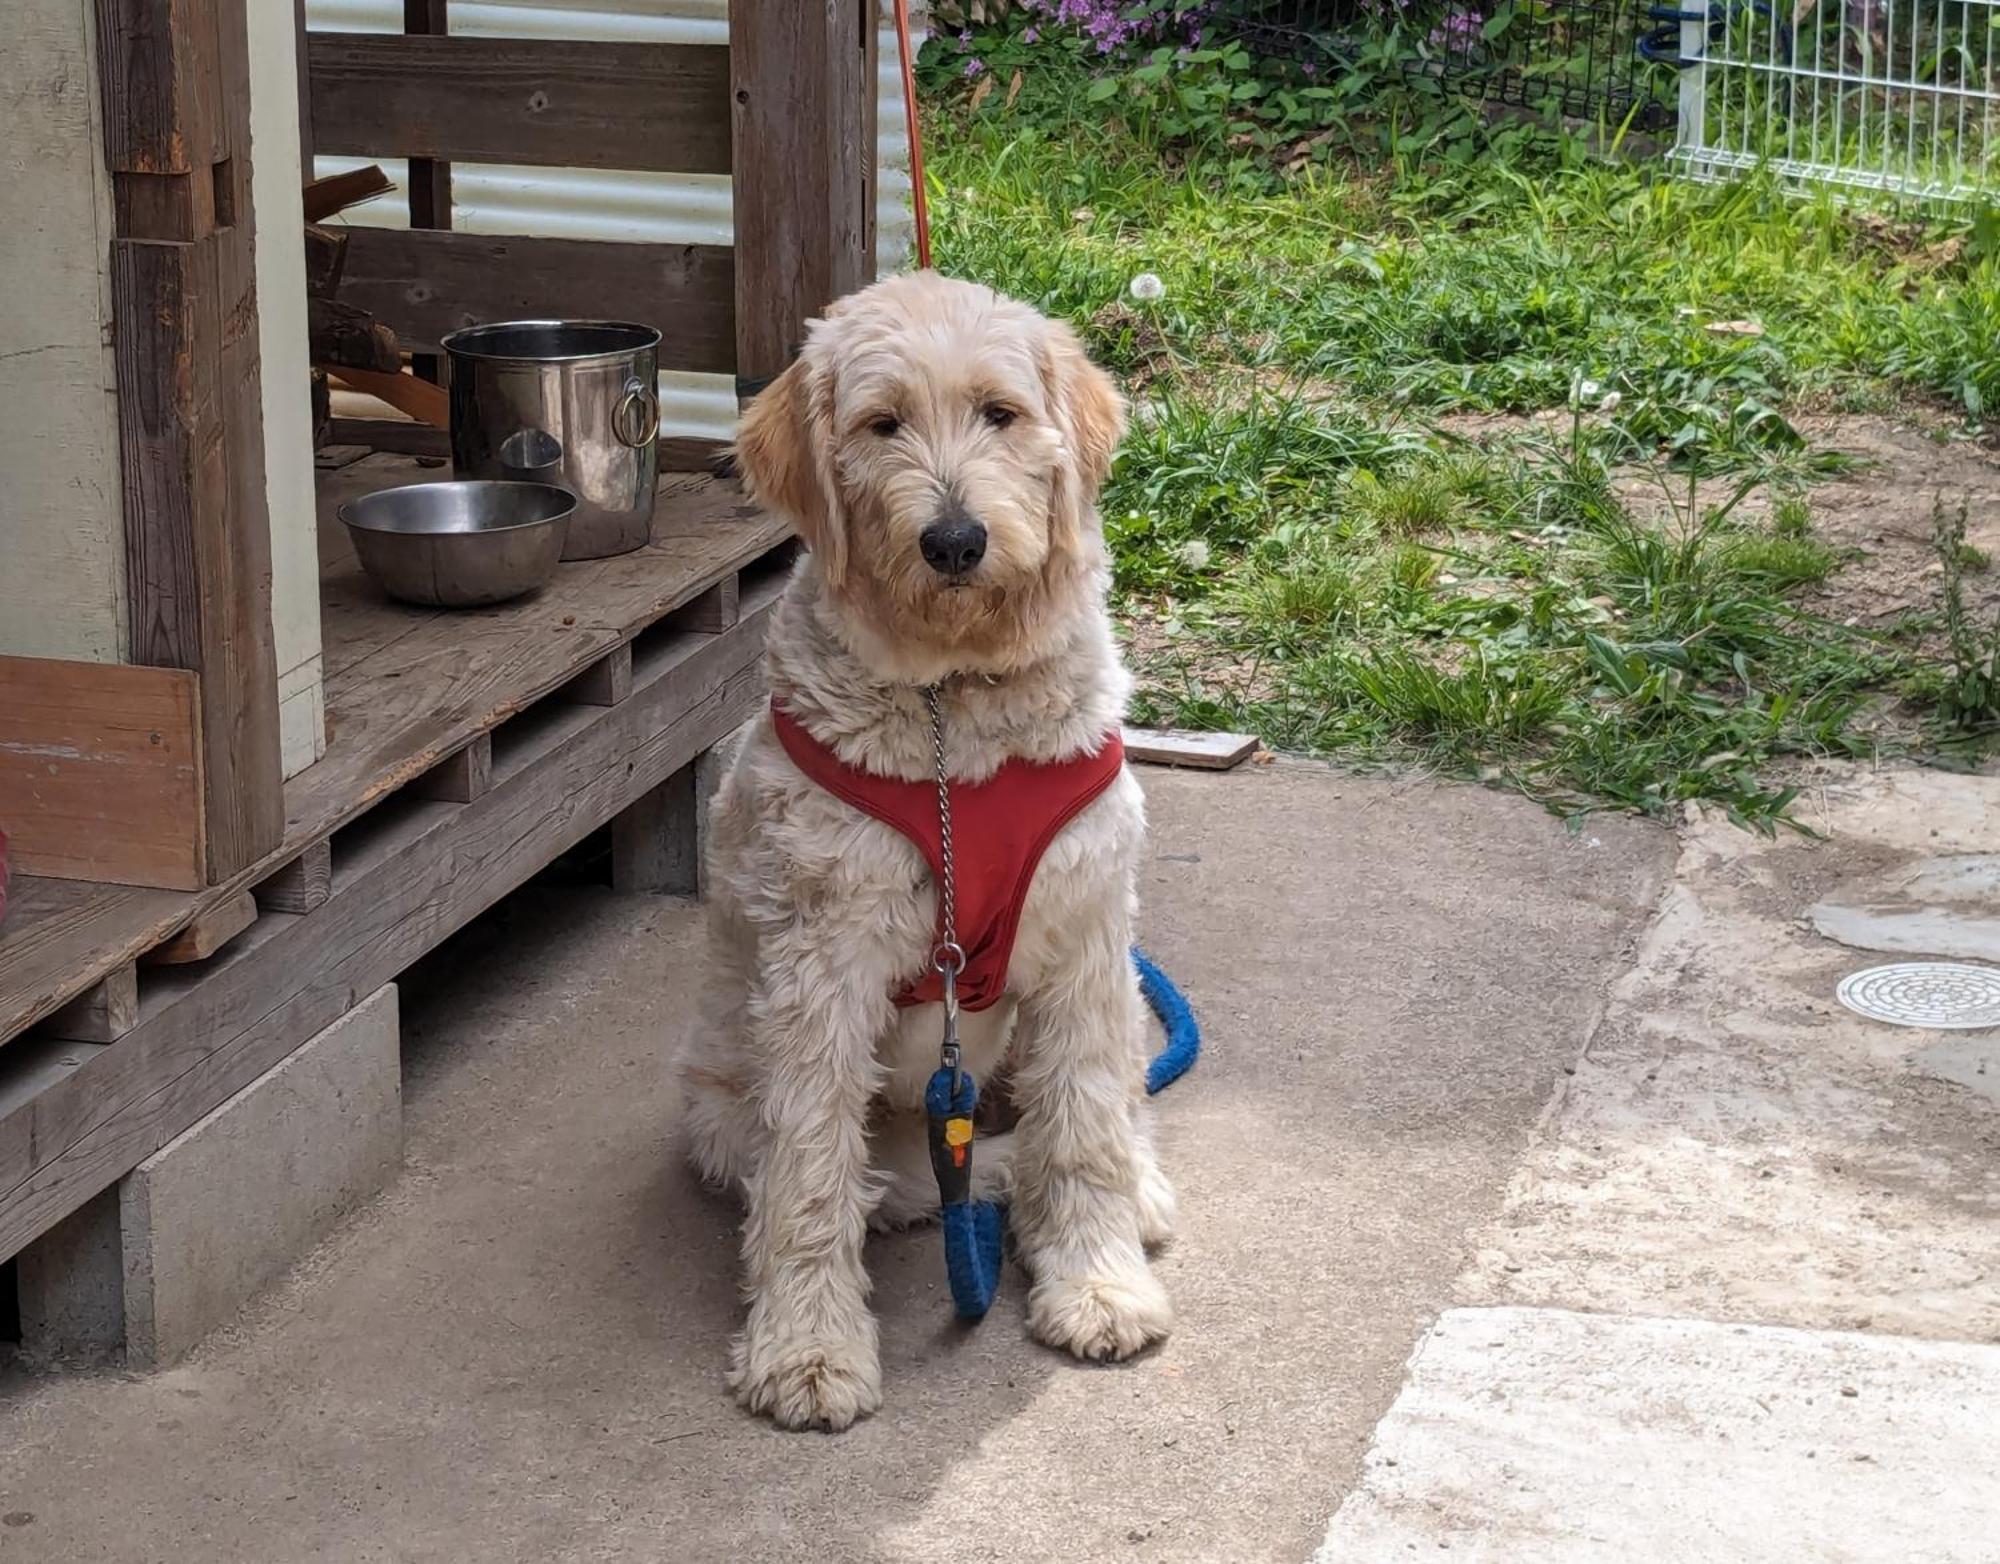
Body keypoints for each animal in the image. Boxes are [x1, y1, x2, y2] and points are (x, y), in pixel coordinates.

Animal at [676, 270, 1168, 1432]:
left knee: (1100, 1106)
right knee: (897, 1179)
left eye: (999, 412)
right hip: (728, 1110)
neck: (955, 711)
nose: (954, 541)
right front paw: (806, 1350)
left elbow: (1085, 1125)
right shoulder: (819, 968)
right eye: (881, 424)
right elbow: (810, 1172)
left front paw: (1098, 1282)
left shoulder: (1088, 937)